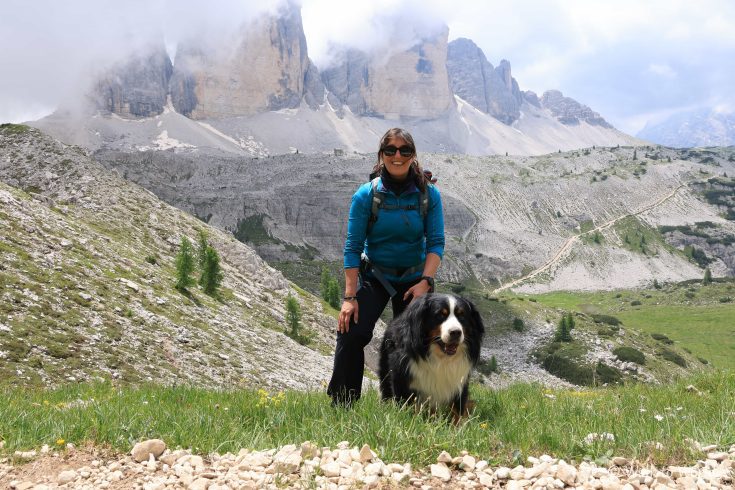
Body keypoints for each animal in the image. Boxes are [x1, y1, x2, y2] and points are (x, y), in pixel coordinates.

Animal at [380, 292, 484, 420]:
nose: (456, 332)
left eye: (462, 316)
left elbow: (456, 410)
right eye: (440, 315)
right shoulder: (401, 376)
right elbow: (404, 403)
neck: (441, 359)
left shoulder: (459, 380)